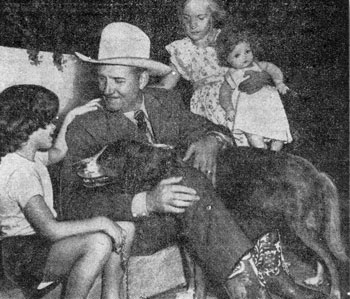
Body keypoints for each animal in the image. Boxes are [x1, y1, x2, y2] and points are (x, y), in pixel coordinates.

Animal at [76, 141, 348, 299]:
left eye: (107, 158)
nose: (78, 165)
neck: (166, 168)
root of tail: (316, 173)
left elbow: (199, 275)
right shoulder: (185, 239)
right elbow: (190, 270)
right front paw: (188, 292)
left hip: (299, 226)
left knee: (329, 256)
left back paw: (334, 290)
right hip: (299, 226)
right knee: (320, 255)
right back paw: (317, 279)